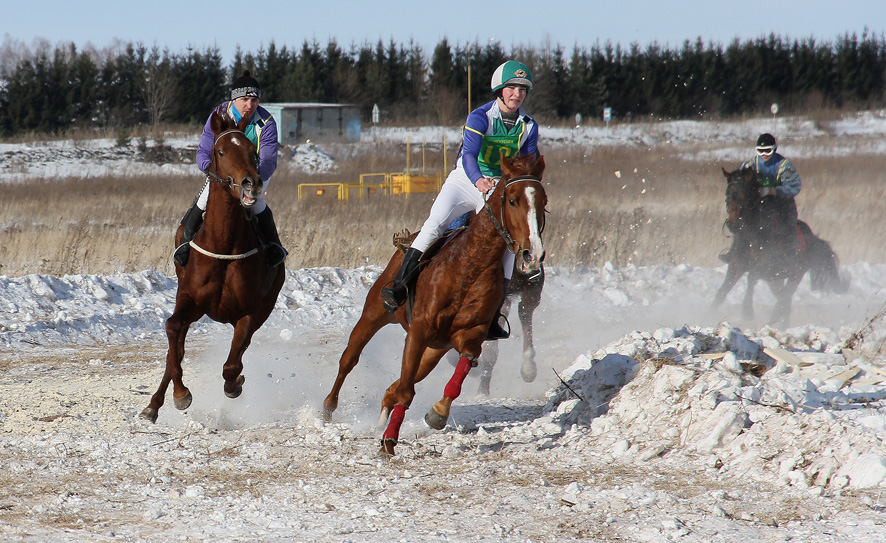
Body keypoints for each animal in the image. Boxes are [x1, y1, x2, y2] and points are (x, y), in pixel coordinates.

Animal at [140, 112, 284, 422]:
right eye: (220, 151)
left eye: (252, 152)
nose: (250, 182)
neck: (224, 245)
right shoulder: (189, 300)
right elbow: (172, 331)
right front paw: (180, 394)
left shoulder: (249, 312)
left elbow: (232, 363)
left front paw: (234, 383)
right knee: (177, 348)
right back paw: (154, 403)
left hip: (265, 306)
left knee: (239, 350)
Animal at [326, 153, 548, 454]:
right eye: (512, 200)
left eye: (543, 202)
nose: (532, 253)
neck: (468, 268)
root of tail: (406, 242)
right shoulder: (418, 332)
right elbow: (406, 391)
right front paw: (389, 440)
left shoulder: (471, 335)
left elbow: (460, 371)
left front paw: (438, 412)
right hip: (374, 313)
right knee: (350, 358)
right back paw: (328, 408)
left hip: (434, 350)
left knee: (399, 383)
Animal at [712, 166, 848, 328]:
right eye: (727, 193)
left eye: (744, 194)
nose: (733, 224)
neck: (753, 234)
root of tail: (814, 240)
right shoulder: (736, 265)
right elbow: (722, 292)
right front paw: (709, 314)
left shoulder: (764, 265)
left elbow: (751, 279)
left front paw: (747, 311)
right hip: (775, 279)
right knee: (784, 298)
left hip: (795, 275)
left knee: (785, 298)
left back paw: (775, 323)